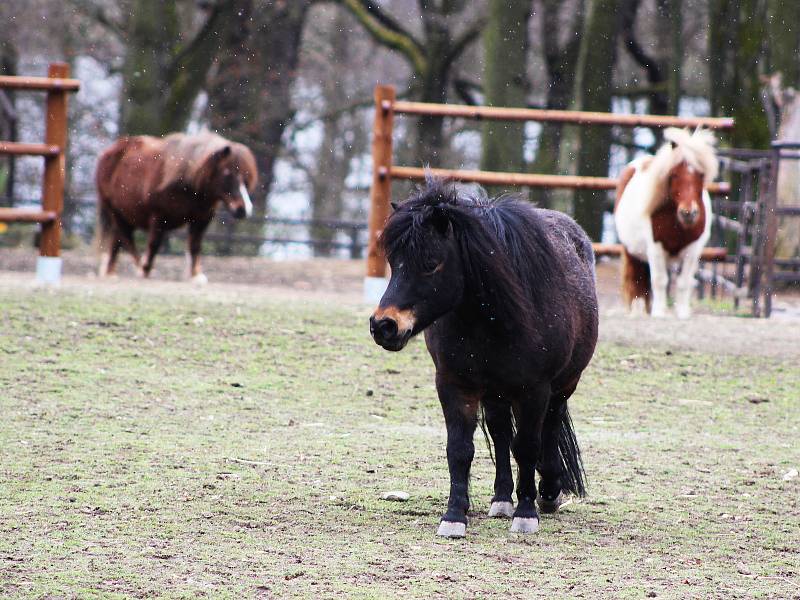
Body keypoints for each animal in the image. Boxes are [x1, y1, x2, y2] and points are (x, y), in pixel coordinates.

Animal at [94, 131, 258, 282]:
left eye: (246, 177)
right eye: (227, 173)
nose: (243, 209)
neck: (186, 182)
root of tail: (110, 151)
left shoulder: (202, 219)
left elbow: (195, 245)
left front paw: (196, 275)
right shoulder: (158, 216)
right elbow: (154, 244)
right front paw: (146, 269)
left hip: (126, 215)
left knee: (118, 240)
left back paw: (111, 272)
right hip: (114, 212)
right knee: (126, 239)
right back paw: (139, 267)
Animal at [368, 179, 592, 540]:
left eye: (431, 263)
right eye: (393, 261)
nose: (384, 326)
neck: (492, 316)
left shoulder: (535, 390)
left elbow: (527, 446)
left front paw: (526, 514)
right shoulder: (454, 384)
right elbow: (460, 449)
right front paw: (453, 516)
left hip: (562, 386)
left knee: (550, 427)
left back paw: (547, 493)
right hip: (495, 392)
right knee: (501, 435)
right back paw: (501, 500)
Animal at [612, 127, 720, 318]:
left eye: (701, 174)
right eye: (674, 174)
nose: (689, 213)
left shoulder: (693, 250)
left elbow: (684, 282)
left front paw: (683, 313)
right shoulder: (656, 248)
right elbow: (660, 280)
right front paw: (659, 312)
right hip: (633, 252)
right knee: (636, 280)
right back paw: (638, 311)